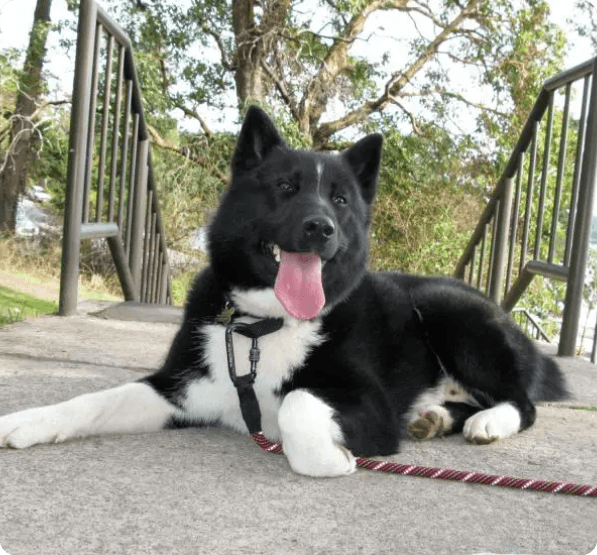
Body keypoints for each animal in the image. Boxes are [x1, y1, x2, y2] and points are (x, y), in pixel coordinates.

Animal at [0, 107, 564, 478]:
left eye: (340, 200)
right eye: (286, 187)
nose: (321, 228)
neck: (262, 324)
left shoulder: (373, 409)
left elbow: (296, 403)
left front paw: (329, 457)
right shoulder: (180, 386)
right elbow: (97, 399)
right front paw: (28, 420)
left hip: (452, 313)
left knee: (523, 403)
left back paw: (488, 421)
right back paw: (437, 417)